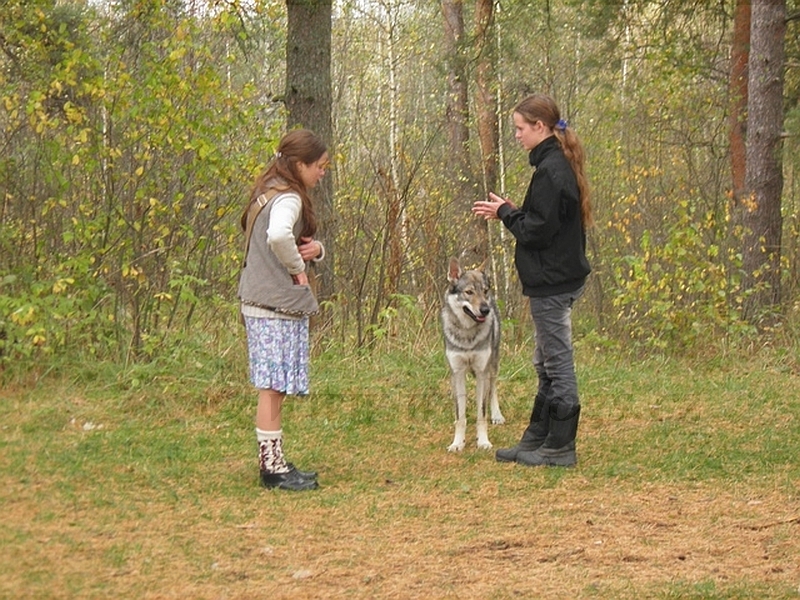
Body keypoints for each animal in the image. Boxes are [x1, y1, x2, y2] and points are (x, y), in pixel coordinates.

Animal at [440, 255, 504, 452]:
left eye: (484, 291)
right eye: (469, 292)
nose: (485, 310)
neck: (467, 335)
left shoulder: (482, 371)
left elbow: (481, 414)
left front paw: (483, 441)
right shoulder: (457, 373)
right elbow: (460, 417)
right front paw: (457, 443)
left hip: (492, 365)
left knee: (492, 390)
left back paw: (497, 415)